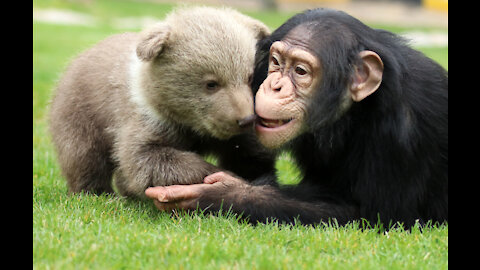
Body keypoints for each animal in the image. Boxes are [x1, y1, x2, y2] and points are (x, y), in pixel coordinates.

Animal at [144, 7, 448, 228]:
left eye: (300, 71)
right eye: (276, 62)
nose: (274, 85)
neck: (356, 111)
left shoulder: (402, 130)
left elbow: (374, 216)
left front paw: (222, 194)